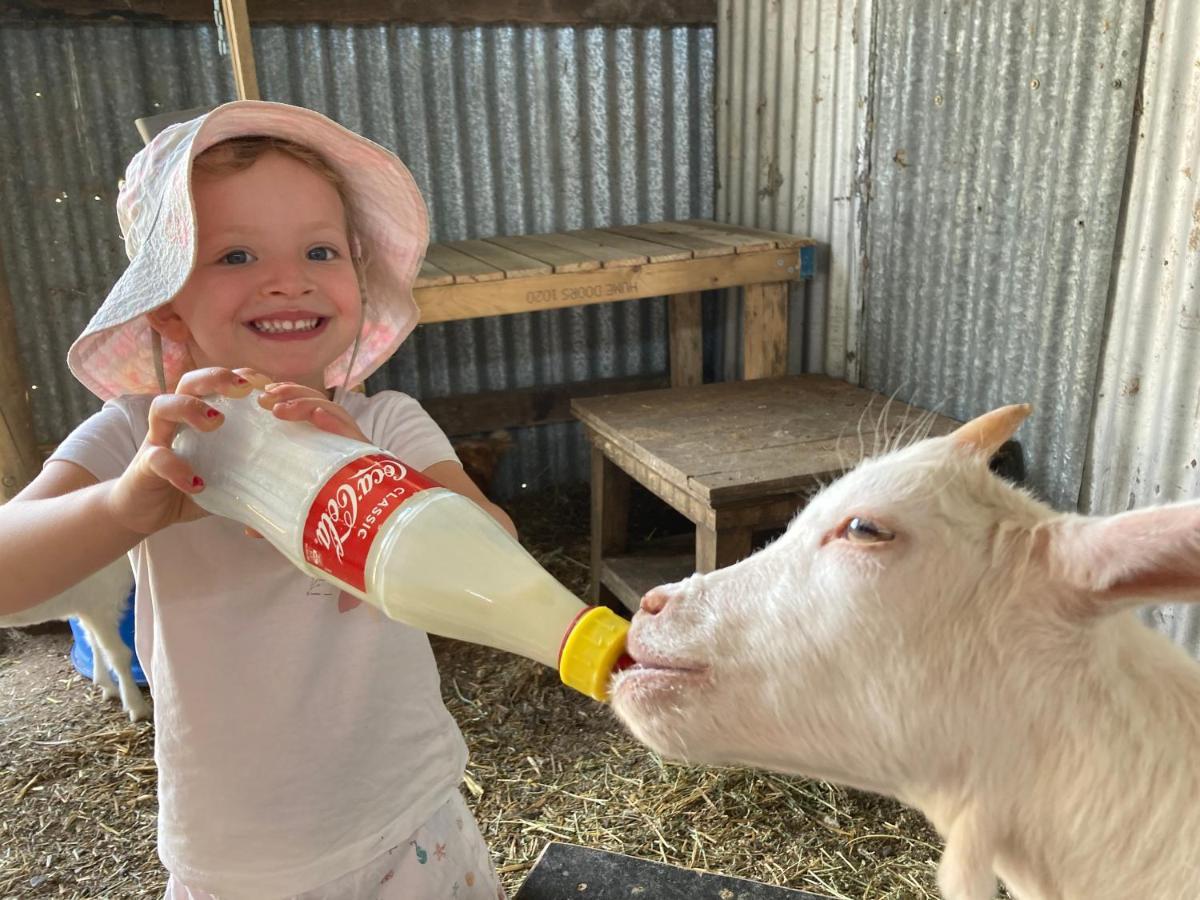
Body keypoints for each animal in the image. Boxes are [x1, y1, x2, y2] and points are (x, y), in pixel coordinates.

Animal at [0, 561, 150, 724]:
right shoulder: (99, 604)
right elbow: (119, 655)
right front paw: (137, 707)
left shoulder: (87, 609)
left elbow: (94, 643)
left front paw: (107, 686)